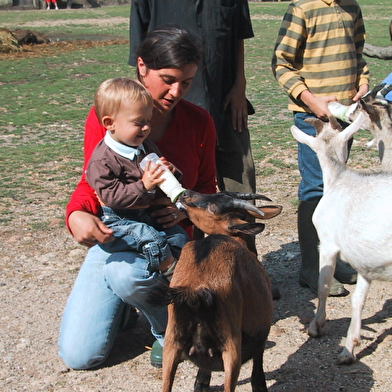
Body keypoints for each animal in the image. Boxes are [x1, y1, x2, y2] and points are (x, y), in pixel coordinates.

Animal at [160, 189, 282, 388]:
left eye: (213, 207)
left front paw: (201, 383)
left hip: (171, 343)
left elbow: (201, 379)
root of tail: (195, 292)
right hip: (231, 347)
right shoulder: (261, 334)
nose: (185, 193)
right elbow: (257, 375)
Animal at [290, 113, 392, 364]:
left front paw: (316, 326)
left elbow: (323, 285)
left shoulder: (327, 244)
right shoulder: (366, 261)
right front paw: (349, 348)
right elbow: (358, 300)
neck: (339, 178)